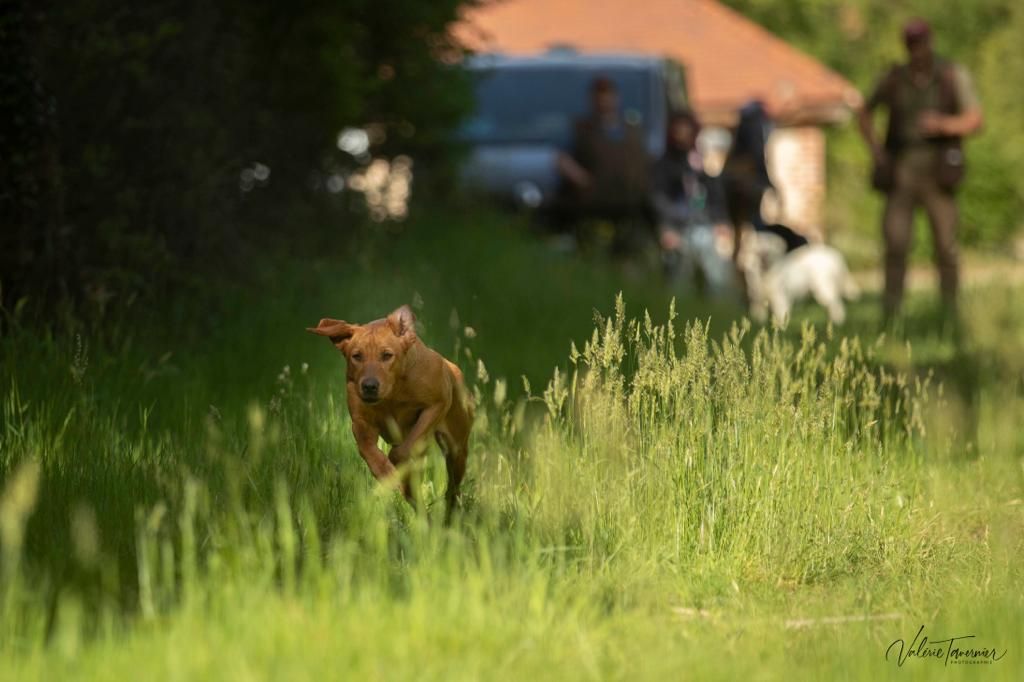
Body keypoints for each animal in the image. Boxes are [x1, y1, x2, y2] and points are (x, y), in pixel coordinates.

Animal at [305, 303, 473, 516]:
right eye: (357, 356)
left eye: (387, 355)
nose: (369, 386)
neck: (394, 391)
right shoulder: (361, 421)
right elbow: (366, 448)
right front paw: (384, 470)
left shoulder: (437, 405)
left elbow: (406, 447)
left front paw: (395, 463)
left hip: (457, 447)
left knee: (453, 486)